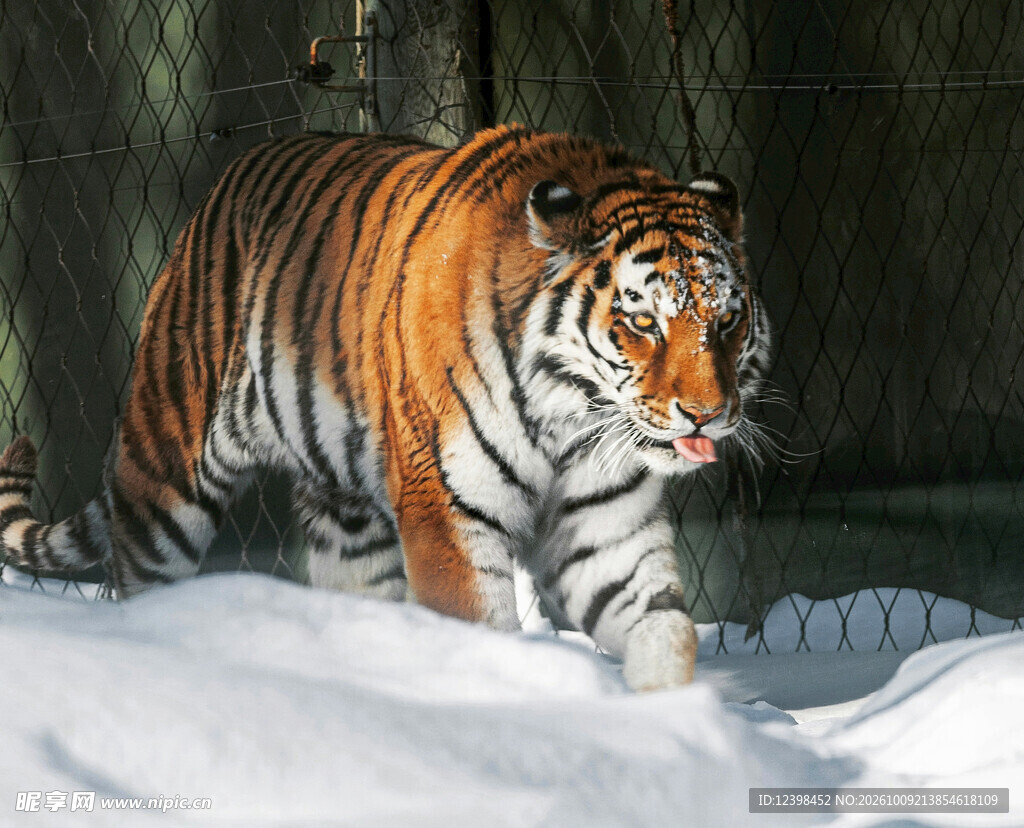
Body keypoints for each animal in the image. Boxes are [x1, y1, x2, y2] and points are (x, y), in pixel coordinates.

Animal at [0, 125, 770, 691]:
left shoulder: (603, 526)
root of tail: (209, 200)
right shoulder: (447, 510)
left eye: (728, 321)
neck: (572, 417)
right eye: (642, 324)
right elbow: (480, 628)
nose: (706, 414)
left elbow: (665, 629)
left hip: (349, 524)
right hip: (164, 485)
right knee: (140, 583)